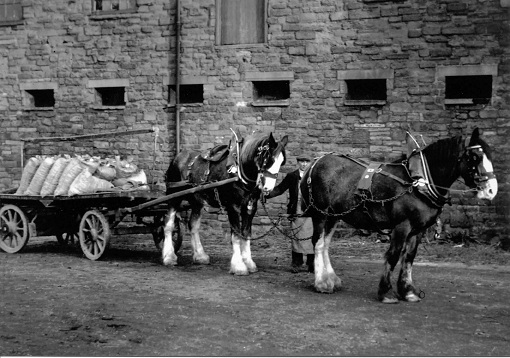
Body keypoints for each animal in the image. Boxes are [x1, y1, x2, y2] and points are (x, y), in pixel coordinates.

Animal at [162, 131, 286, 274]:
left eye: (281, 162)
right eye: (268, 159)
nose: (268, 188)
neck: (238, 172)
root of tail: (178, 157)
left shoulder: (250, 207)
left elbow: (246, 234)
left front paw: (249, 262)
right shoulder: (233, 207)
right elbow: (236, 235)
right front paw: (239, 266)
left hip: (197, 201)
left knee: (193, 225)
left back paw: (200, 256)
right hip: (173, 197)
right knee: (169, 224)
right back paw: (169, 257)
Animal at [300, 129, 496, 302]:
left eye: (489, 155)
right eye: (475, 157)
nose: (491, 190)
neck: (418, 183)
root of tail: (315, 162)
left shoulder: (418, 229)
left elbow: (408, 258)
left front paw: (408, 291)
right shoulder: (402, 225)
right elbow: (393, 255)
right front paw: (386, 293)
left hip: (334, 215)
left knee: (325, 244)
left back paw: (331, 279)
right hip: (320, 214)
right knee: (318, 243)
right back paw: (321, 283)